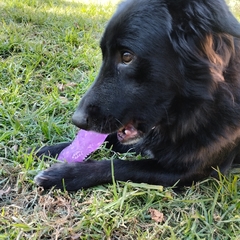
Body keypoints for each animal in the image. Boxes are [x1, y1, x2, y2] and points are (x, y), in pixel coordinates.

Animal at [34, 0, 240, 191]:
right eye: (103, 55)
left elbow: (122, 166)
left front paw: (66, 174)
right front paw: (51, 149)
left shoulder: (186, 171)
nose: (77, 120)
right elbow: (109, 139)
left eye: (127, 56)